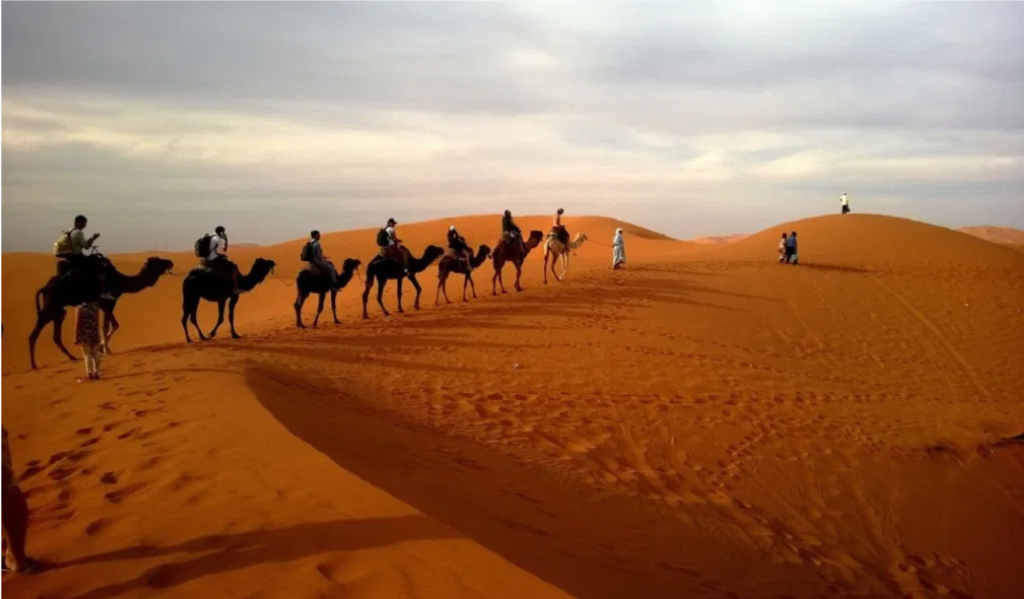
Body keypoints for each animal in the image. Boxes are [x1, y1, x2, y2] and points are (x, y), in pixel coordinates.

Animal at [29, 255, 175, 368]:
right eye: (157, 261)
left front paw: (103, 347)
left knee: (56, 335)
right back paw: (34, 364)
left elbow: (115, 325)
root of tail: (45, 288)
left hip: (58, 310)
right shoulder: (109, 303)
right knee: (35, 333)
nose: (170, 262)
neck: (120, 281)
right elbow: (106, 327)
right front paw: (105, 350)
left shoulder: (106, 305)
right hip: (51, 307)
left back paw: (72, 357)